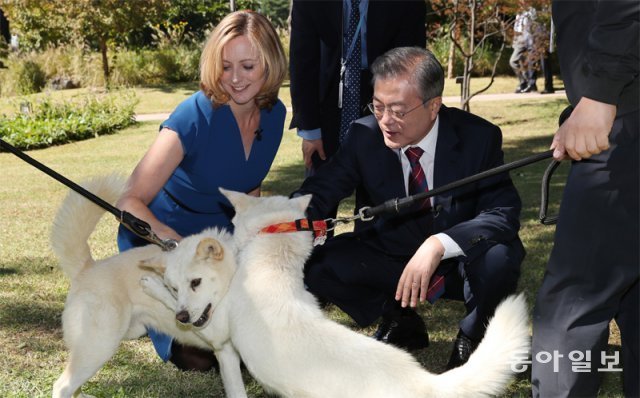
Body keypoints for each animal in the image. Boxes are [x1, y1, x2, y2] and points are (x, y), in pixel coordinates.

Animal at [49, 177, 245, 398]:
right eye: (173, 288)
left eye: (196, 282)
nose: (182, 318)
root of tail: (88, 268)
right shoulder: (221, 338)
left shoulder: (227, 352)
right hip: (99, 345)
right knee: (62, 385)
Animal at [144, 190, 528, 398]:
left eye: (194, 284)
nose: (183, 316)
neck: (272, 266)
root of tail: (424, 382)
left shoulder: (218, 332)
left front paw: (151, 281)